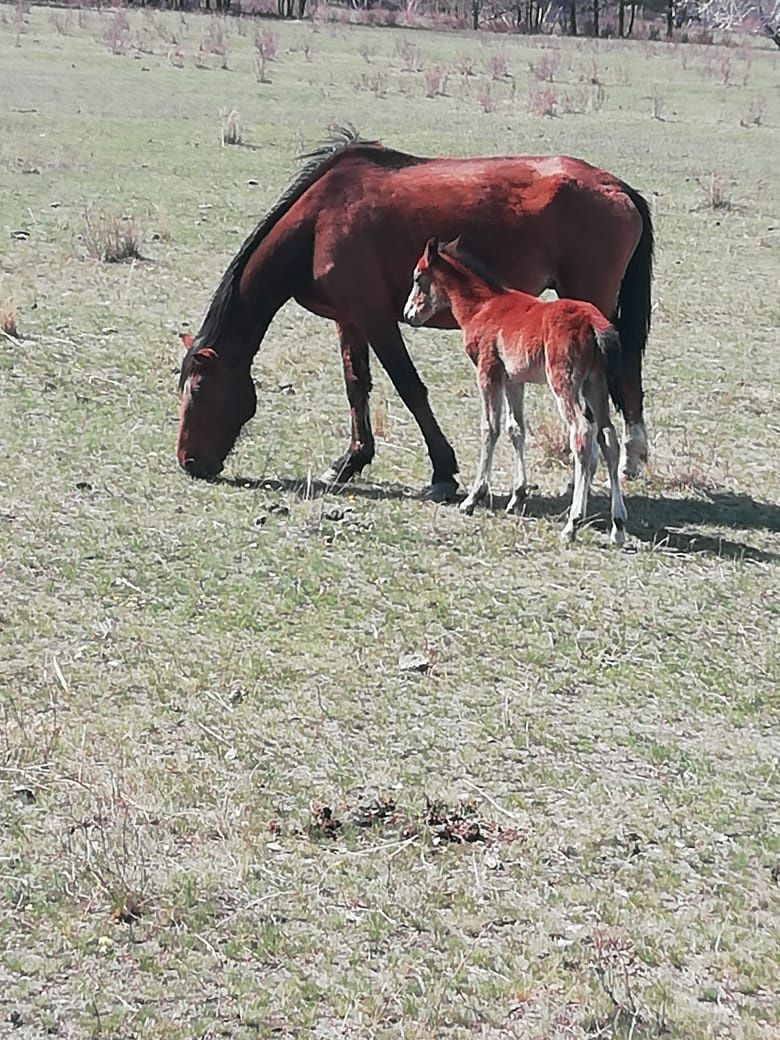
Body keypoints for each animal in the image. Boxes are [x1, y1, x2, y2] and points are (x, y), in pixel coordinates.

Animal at [176, 125, 653, 499]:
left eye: (198, 391)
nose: (188, 462)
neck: (317, 222)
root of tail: (616, 185)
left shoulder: (376, 318)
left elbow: (409, 387)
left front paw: (443, 471)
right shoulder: (349, 319)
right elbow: (356, 386)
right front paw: (350, 461)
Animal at [405, 236, 632, 544]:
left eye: (418, 277)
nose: (409, 314)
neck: (484, 306)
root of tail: (593, 322)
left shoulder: (488, 372)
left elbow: (490, 428)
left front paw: (473, 498)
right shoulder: (514, 379)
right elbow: (516, 428)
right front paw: (517, 496)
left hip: (564, 382)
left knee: (582, 434)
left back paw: (572, 524)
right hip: (595, 384)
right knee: (608, 437)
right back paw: (618, 526)